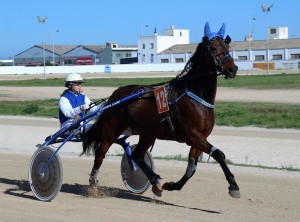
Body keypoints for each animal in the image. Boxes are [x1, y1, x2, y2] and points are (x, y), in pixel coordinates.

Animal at [81, 22, 240, 199]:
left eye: (227, 46)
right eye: (212, 48)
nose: (232, 69)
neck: (196, 95)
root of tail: (116, 94)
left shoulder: (200, 137)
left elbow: (191, 167)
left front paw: (171, 185)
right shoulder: (192, 134)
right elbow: (218, 154)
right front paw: (233, 185)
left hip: (148, 133)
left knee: (137, 155)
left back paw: (155, 181)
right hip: (112, 129)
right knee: (100, 153)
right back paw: (93, 184)